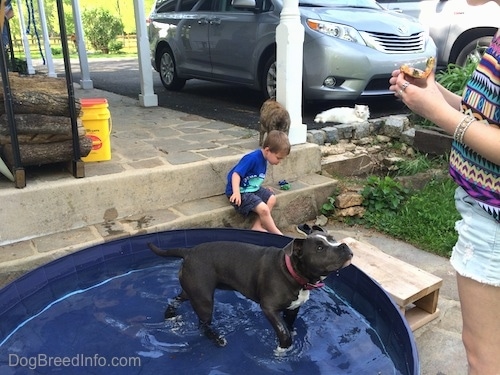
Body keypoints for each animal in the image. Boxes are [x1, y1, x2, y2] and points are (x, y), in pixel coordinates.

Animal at [146, 232, 354, 352]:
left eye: (333, 239)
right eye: (319, 247)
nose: (344, 246)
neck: (291, 271)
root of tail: (188, 252)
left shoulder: (293, 308)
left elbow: (289, 325)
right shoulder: (268, 308)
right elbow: (283, 331)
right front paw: (282, 350)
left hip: (192, 290)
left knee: (175, 299)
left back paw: (170, 316)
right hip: (204, 300)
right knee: (203, 325)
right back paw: (218, 339)